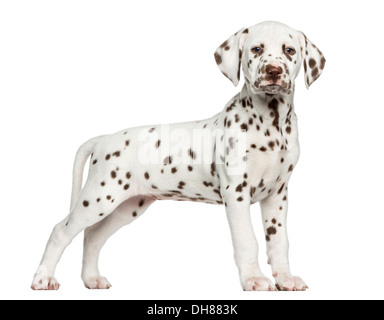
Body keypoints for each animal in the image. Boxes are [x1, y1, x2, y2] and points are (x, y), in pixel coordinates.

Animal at [33, 21, 326, 292]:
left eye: (289, 50)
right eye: (256, 49)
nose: (273, 71)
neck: (271, 122)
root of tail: (103, 139)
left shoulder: (277, 194)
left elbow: (279, 241)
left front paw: (286, 279)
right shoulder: (237, 193)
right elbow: (247, 240)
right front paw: (254, 279)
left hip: (126, 206)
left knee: (92, 237)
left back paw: (91, 279)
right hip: (98, 198)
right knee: (61, 231)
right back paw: (43, 279)